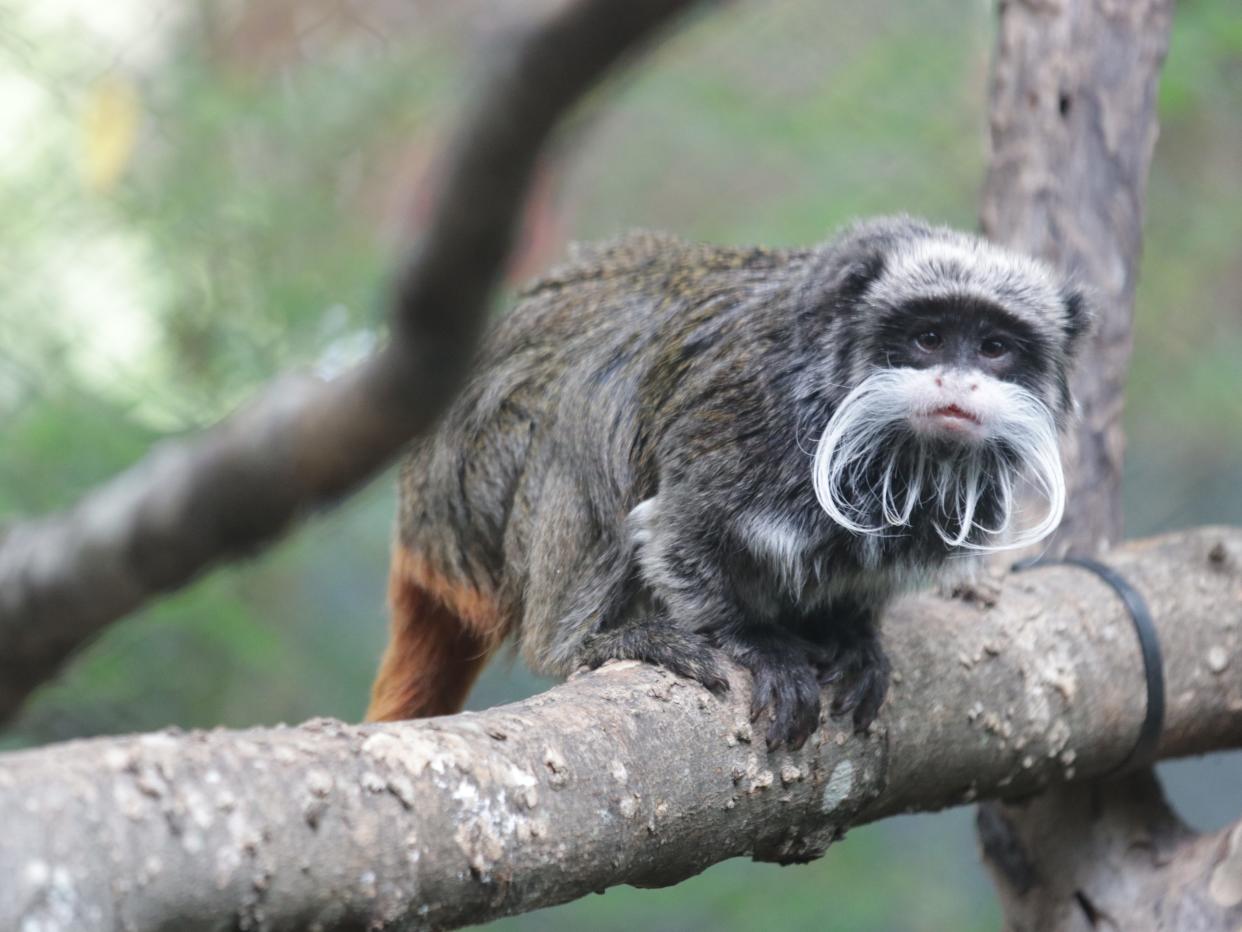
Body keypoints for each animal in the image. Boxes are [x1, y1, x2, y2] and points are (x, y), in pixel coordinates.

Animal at [365, 217, 1087, 750]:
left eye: (995, 348)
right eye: (928, 337)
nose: (958, 382)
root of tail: (417, 524)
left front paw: (853, 635)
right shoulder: (747, 419)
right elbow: (677, 535)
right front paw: (756, 644)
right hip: (475, 492)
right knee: (589, 405)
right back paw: (586, 640)